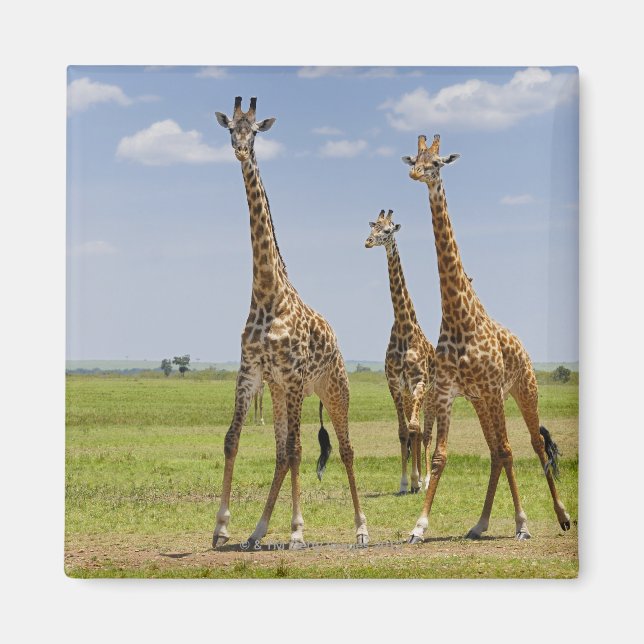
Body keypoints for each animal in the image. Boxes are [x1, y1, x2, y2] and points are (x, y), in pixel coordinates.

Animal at [211, 97, 368, 549]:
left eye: (254, 131)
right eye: (229, 128)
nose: (240, 150)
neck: (268, 293)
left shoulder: (296, 377)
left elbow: (300, 450)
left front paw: (298, 530)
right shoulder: (253, 372)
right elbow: (233, 440)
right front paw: (222, 526)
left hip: (333, 389)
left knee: (345, 450)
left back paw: (361, 528)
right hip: (281, 392)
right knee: (282, 453)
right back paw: (258, 530)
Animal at [364, 209, 436, 494]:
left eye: (388, 230)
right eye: (372, 227)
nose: (368, 242)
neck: (405, 329)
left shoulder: (419, 383)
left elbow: (416, 429)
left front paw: (419, 480)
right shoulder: (395, 384)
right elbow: (404, 432)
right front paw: (405, 482)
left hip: (428, 395)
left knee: (425, 433)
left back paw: (425, 479)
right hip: (407, 395)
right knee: (413, 432)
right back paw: (416, 480)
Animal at [401, 134, 571, 543]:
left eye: (437, 163)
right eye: (415, 158)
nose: (417, 174)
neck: (458, 315)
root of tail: (522, 346)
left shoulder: (494, 389)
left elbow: (511, 450)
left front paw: (523, 523)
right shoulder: (448, 392)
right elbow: (440, 456)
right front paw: (418, 526)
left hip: (523, 389)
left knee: (533, 444)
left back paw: (561, 516)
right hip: (481, 401)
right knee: (495, 450)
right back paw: (479, 524)